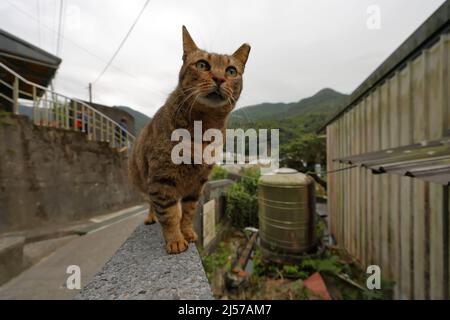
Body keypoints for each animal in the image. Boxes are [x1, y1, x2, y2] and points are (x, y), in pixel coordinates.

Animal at [128, 25, 251, 252]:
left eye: (231, 71)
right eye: (202, 65)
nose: (219, 78)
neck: (204, 126)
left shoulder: (198, 182)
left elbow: (188, 212)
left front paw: (187, 232)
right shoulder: (161, 178)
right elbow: (168, 214)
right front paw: (175, 239)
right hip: (142, 180)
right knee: (150, 203)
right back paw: (151, 217)